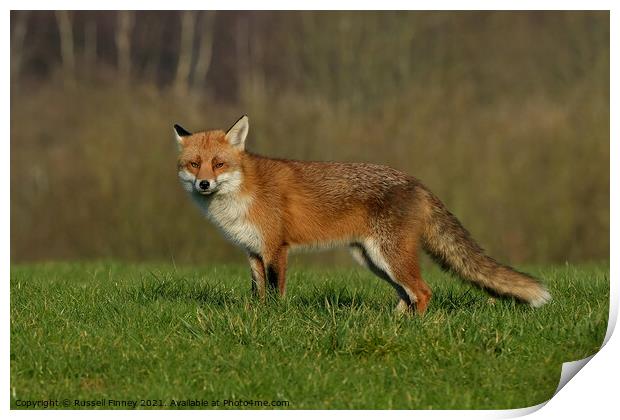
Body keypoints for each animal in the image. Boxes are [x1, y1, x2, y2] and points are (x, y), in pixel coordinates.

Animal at [174, 116, 552, 314]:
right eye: (194, 164)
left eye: (218, 164)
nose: (204, 183)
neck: (242, 193)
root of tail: (417, 182)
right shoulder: (253, 252)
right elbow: (258, 293)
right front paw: (258, 317)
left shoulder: (275, 249)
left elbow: (276, 292)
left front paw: (275, 320)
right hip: (372, 259)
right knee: (407, 296)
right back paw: (396, 325)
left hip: (390, 257)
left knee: (423, 292)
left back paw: (416, 329)